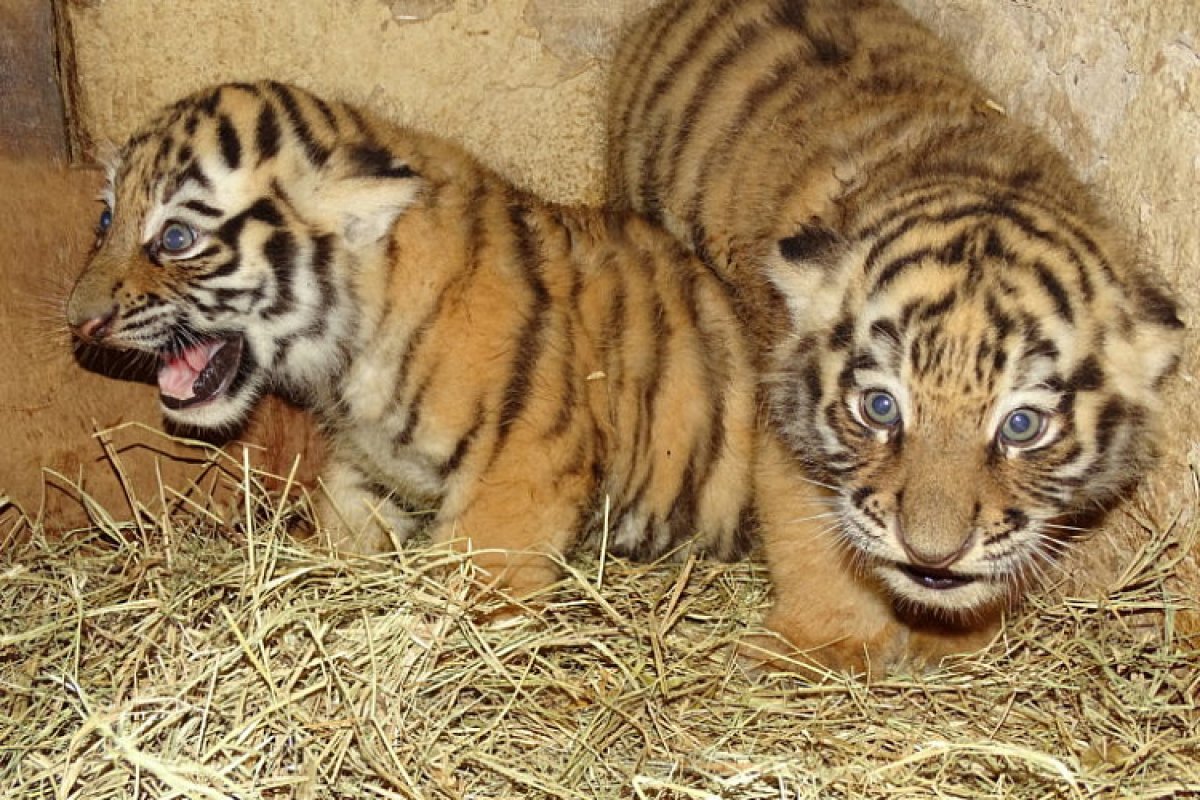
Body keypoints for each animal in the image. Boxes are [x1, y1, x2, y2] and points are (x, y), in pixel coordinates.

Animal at [66, 80, 758, 595]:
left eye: (176, 237)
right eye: (104, 219)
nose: (79, 321)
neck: (350, 354)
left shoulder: (527, 466)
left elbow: (469, 585)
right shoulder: (366, 465)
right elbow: (342, 521)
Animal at [607, 0, 1184, 672]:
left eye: (1022, 426)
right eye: (880, 408)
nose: (932, 553)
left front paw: (954, 637)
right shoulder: (784, 430)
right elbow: (809, 534)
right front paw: (824, 642)